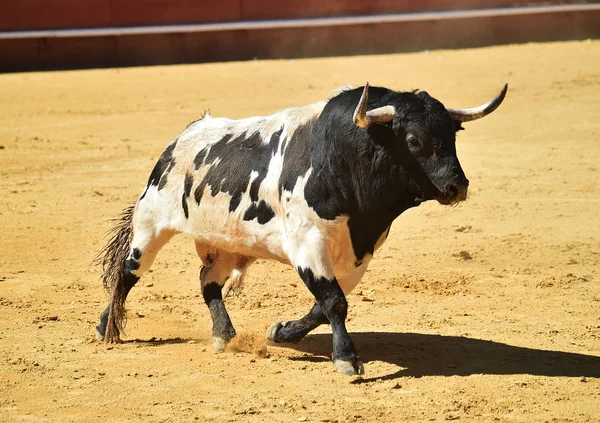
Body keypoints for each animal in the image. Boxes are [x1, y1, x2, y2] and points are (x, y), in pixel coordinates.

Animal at [96, 82, 508, 374]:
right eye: (412, 140)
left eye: (451, 136)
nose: (457, 186)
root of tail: (182, 137)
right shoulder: (308, 243)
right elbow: (334, 301)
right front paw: (347, 359)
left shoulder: (360, 254)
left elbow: (324, 306)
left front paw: (280, 332)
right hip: (150, 227)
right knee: (127, 273)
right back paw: (106, 326)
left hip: (227, 244)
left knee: (208, 281)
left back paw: (224, 335)